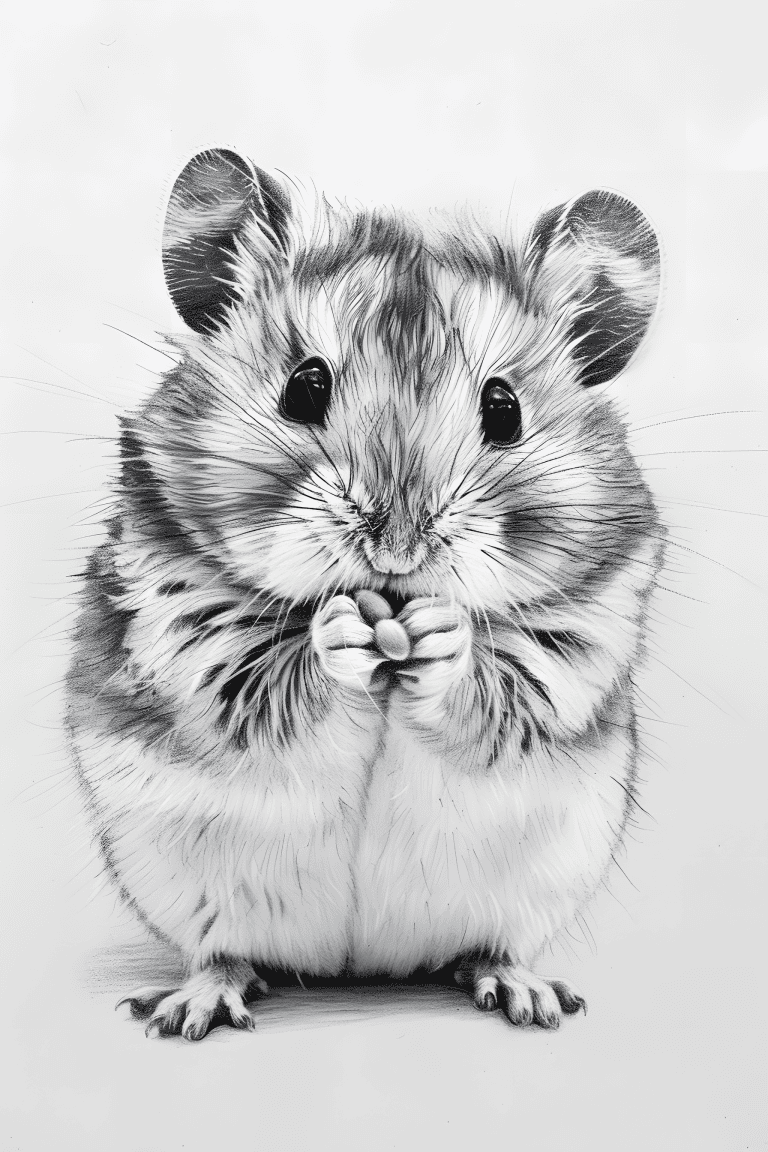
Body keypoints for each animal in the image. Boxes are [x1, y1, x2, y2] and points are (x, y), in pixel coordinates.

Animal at [67, 149, 663, 1040]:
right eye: (304, 386)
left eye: (504, 408)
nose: (396, 551)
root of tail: (359, 969)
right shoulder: (182, 617)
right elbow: (260, 670)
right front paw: (341, 630)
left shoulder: (584, 630)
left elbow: (510, 679)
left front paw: (442, 636)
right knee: (223, 954)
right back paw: (189, 1008)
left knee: (491, 947)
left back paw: (529, 995)